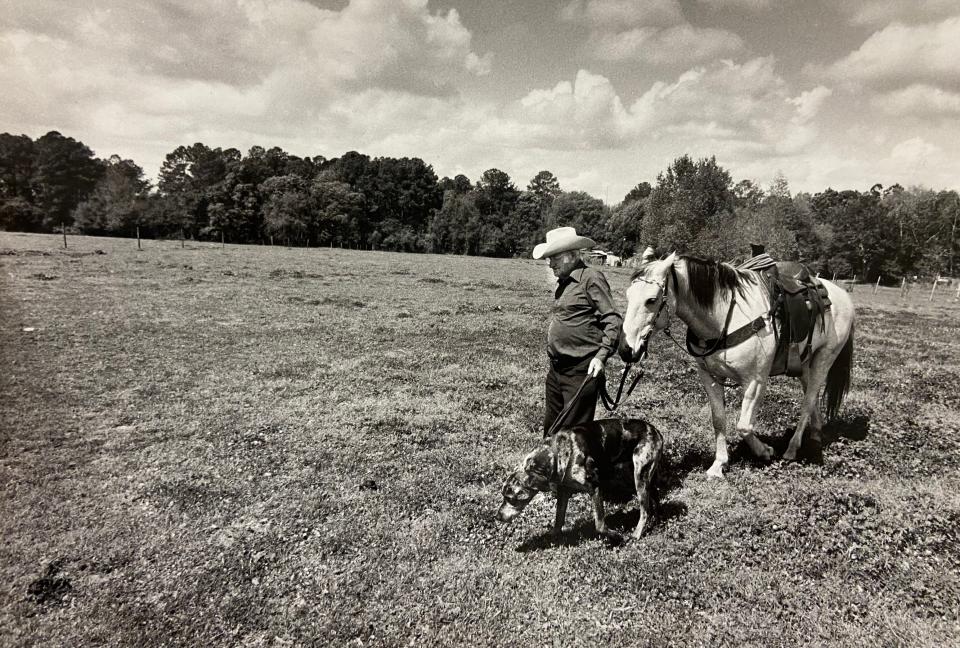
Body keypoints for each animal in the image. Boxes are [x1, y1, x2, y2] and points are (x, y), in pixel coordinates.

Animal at [498, 418, 664, 540]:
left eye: (511, 498)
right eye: (503, 496)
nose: (497, 516)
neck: (557, 453)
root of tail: (656, 432)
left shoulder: (595, 487)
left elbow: (599, 525)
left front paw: (616, 536)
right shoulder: (563, 491)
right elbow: (558, 519)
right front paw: (553, 535)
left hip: (639, 476)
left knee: (645, 510)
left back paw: (636, 534)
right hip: (637, 476)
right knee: (654, 498)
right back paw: (657, 521)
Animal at [620, 248, 860, 476]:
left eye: (651, 300)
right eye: (628, 295)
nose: (625, 349)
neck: (723, 318)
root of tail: (841, 294)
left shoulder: (755, 381)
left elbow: (744, 426)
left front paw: (764, 451)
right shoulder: (710, 377)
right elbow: (719, 419)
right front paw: (719, 464)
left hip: (825, 358)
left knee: (808, 400)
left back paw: (792, 449)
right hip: (804, 364)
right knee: (812, 395)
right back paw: (816, 434)